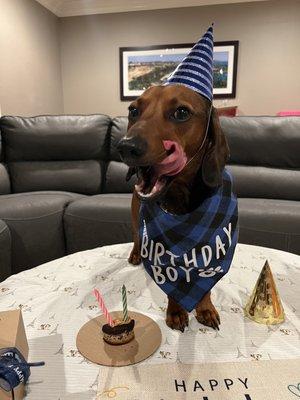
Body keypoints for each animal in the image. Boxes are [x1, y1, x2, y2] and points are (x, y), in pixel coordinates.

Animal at [117, 84, 230, 332]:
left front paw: (205, 308)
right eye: (133, 110)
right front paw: (177, 312)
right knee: (137, 236)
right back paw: (137, 253)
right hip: (135, 214)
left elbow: (205, 283)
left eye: (181, 112)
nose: (126, 146)